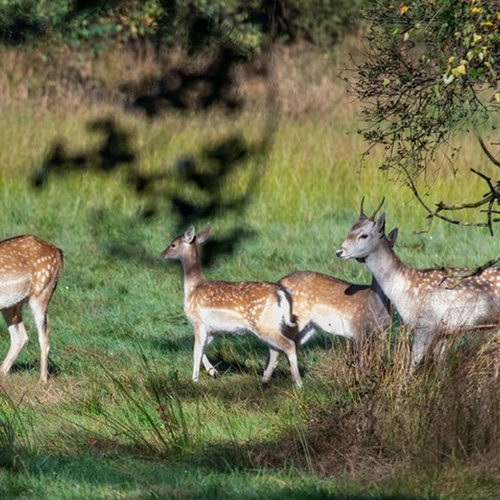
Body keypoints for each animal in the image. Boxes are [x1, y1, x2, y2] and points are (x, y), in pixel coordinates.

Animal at [0, 234, 63, 382]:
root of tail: (58, 252)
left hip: (41, 293)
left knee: (44, 334)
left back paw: (42, 380)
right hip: (12, 304)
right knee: (20, 336)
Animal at [161, 226, 300, 386]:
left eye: (173, 244)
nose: (162, 253)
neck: (193, 288)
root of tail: (281, 293)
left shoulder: (198, 321)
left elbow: (196, 351)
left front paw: (194, 380)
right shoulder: (213, 329)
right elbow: (202, 350)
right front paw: (213, 372)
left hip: (263, 323)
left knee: (288, 345)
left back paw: (298, 383)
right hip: (274, 324)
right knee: (275, 350)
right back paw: (265, 380)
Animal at [334, 199, 500, 372]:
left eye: (364, 235)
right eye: (350, 230)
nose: (339, 252)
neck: (403, 288)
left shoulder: (425, 322)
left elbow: (414, 360)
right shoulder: (444, 330)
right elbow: (439, 362)